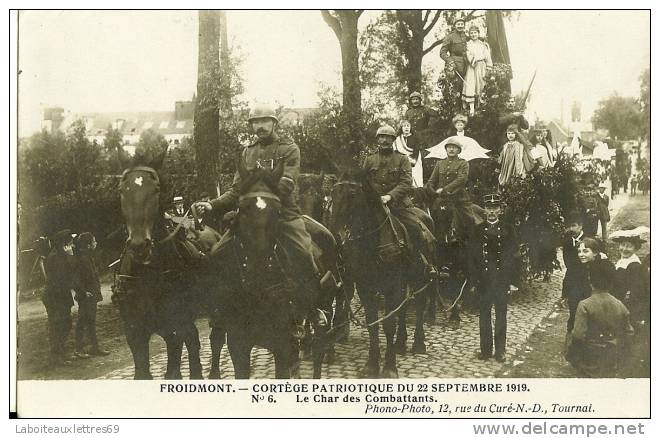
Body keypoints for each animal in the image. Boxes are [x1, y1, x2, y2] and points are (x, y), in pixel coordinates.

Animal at [114, 148, 205, 380]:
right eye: (122, 190)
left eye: (156, 189)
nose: (139, 245)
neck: (148, 276)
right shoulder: (134, 333)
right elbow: (141, 372)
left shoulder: (174, 328)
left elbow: (173, 370)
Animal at [206, 159, 340, 378]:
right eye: (242, 208)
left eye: (277, 210)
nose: (259, 263)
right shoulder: (238, 344)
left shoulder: (284, 346)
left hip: (325, 310)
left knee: (319, 351)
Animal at [330, 168, 434, 376]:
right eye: (333, 193)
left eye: (352, 194)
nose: (335, 235)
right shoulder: (365, 288)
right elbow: (373, 323)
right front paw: (371, 364)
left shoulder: (392, 286)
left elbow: (388, 324)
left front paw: (389, 367)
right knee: (403, 308)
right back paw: (400, 343)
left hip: (419, 278)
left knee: (419, 304)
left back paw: (418, 344)